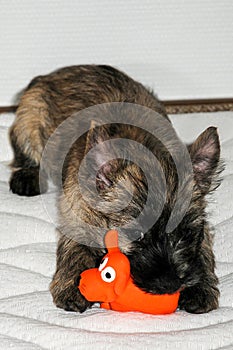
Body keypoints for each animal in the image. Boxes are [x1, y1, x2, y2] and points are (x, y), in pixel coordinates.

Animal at [9, 64, 221, 314]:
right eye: (136, 234)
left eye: (187, 233)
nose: (171, 284)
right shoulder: (78, 215)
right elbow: (75, 248)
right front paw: (73, 286)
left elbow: (204, 251)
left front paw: (201, 288)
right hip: (28, 121)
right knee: (27, 155)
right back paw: (26, 177)